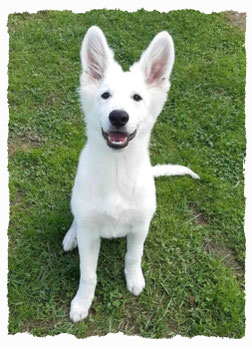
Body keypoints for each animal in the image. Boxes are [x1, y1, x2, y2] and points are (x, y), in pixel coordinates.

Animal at [62, 25, 199, 322]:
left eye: (137, 98)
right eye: (105, 95)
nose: (118, 116)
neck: (117, 170)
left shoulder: (140, 227)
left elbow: (133, 256)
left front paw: (134, 279)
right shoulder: (91, 234)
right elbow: (88, 274)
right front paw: (81, 303)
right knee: (76, 219)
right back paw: (70, 236)